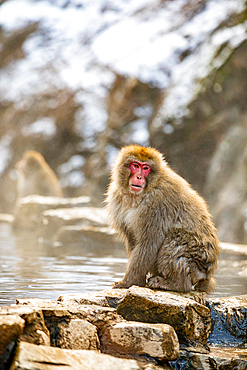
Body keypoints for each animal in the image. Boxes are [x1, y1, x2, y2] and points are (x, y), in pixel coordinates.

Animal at [105, 145, 219, 292]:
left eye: (146, 168)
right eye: (135, 165)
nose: (139, 177)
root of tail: (207, 274)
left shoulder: (157, 204)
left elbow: (149, 242)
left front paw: (128, 282)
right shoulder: (116, 197)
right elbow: (133, 240)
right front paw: (138, 281)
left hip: (196, 261)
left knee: (175, 238)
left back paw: (176, 284)